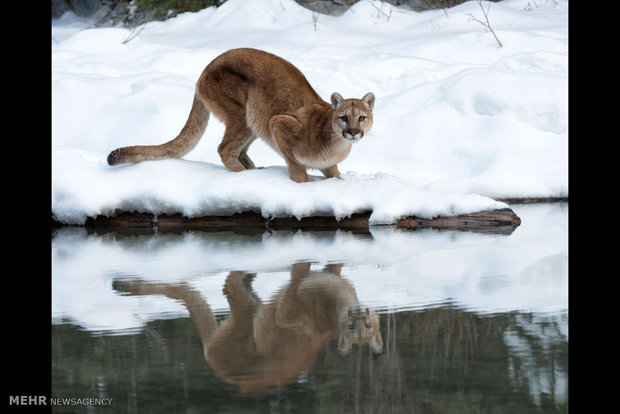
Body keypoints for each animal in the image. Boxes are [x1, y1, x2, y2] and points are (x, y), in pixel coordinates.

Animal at [106, 47, 372, 182]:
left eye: (362, 117)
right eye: (344, 117)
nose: (353, 132)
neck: (335, 141)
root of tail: (205, 68)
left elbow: (333, 173)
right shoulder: (279, 122)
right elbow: (296, 165)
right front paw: (302, 183)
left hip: (254, 122)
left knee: (238, 150)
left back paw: (254, 170)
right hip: (244, 115)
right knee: (224, 149)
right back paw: (242, 176)